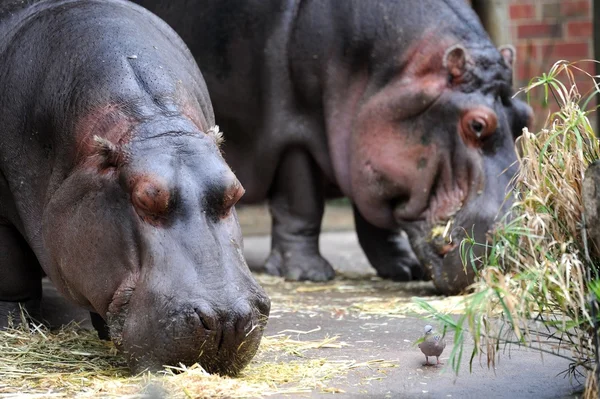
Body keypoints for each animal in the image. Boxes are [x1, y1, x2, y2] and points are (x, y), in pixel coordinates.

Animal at [0, 0, 270, 376]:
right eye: (145, 198)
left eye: (235, 193)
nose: (226, 319)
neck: (148, 117)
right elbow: (11, 271)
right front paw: (14, 325)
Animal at [134, 0, 532, 294]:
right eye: (477, 124)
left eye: (525, 116)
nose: (516, 246)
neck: (395, 72)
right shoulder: (295, 131)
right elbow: (302, 204)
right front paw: (309, 274)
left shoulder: (362, 151)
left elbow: (374, 220)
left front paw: (405, 269)